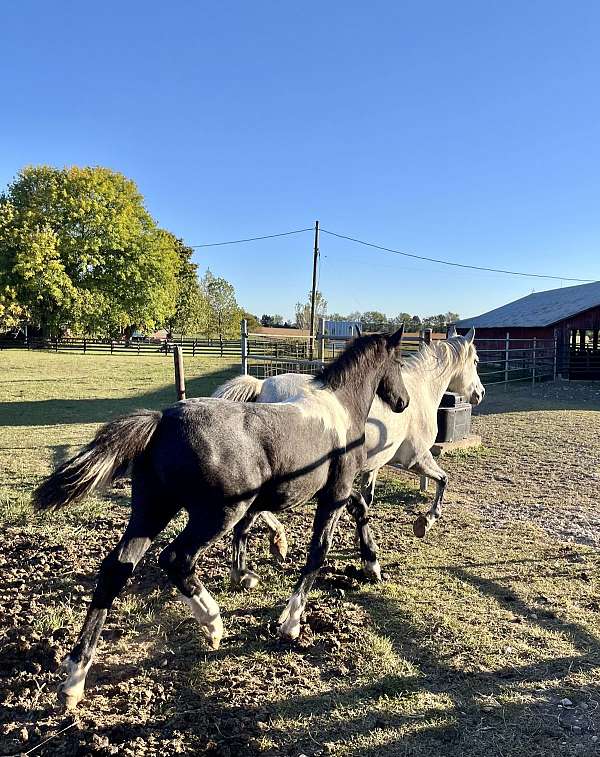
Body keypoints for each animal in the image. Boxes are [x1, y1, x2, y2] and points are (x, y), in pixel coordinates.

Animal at [32, 328, 408, 704]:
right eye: (399, 361)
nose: (402, 401)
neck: (339, 408)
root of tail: (161, 421)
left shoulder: (334, 493)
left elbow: (359, 509)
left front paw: (372, 566)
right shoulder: (333, 496)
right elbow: (318, 551)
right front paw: (291, 622)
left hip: (151, 511)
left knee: (116, 569)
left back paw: (75, 677)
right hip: (217, 514)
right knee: (176, 558)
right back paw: (213, 623)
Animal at [213, 324, 486, 580]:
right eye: (475, 361)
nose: (479, 393)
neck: (420, 392)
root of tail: (262, 385)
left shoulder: (371, 467)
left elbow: (366, 500)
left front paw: (363, 544)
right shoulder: (417, 459)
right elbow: (443, 480)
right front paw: (424, 523)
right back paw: (278, 542)